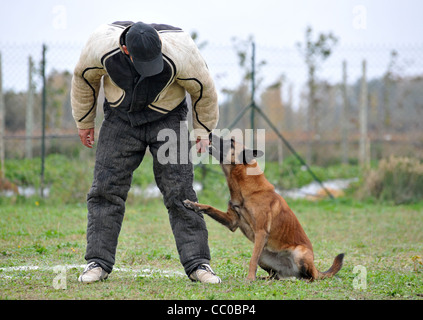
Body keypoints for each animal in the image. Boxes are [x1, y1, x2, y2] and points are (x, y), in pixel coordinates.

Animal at [186, 134, 344, 282]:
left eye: (231, 142)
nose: (209, 134)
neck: (247, 190)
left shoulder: (261, 232)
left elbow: (252, 260)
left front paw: (250, 278)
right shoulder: (232, 222)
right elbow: (209, 207)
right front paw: (193, 205)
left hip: (298, 253)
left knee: (310, 277)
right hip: (264, 255)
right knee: (275, 275)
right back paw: (265, 278)